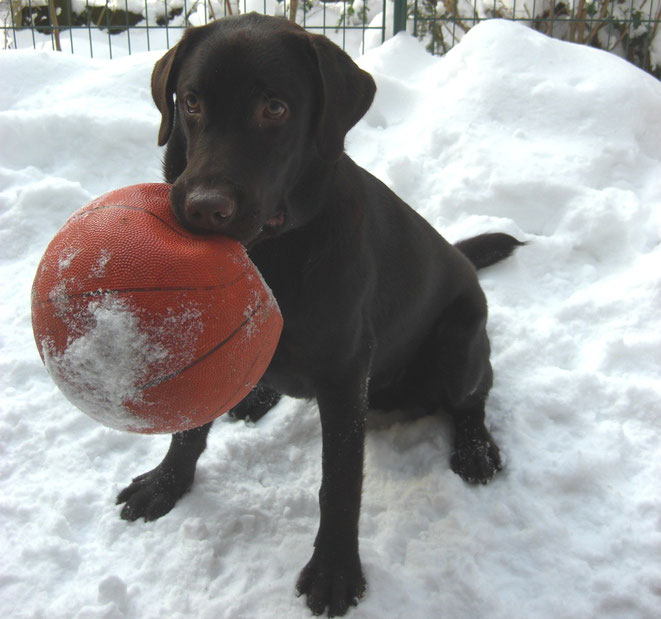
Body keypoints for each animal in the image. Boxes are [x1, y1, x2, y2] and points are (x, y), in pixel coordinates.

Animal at [117, 13, 520, 616]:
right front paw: (166, 484)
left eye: (275, 108)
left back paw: (475, 448)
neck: (271, 255)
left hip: (458, 344)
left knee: (477, 392)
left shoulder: (345, 373)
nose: (203, 209)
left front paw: (335, 572)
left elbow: (340, 484)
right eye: (191, 101)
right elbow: (189, 430)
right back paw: (256, 396)